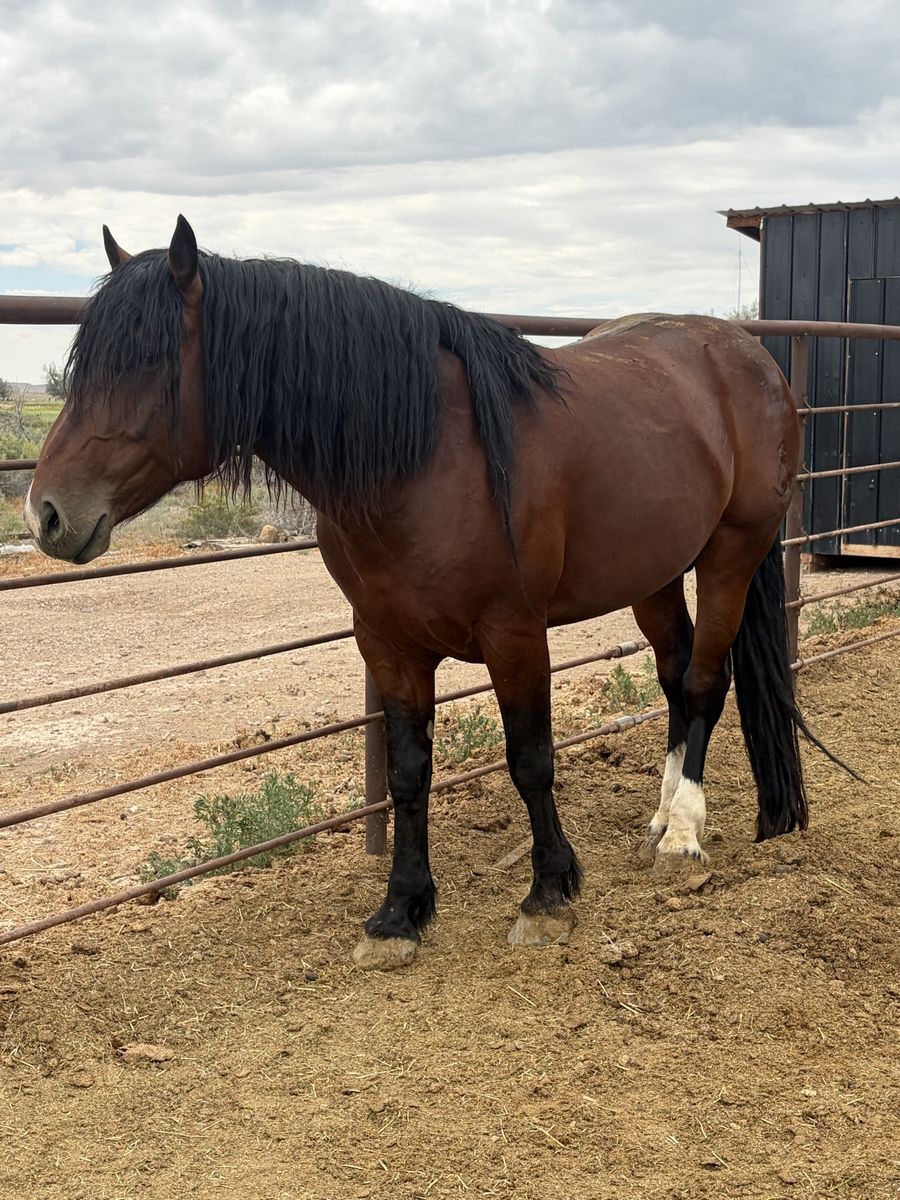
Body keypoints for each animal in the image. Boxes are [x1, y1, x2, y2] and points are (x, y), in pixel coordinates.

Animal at [26, 216, 820, 969]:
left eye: (147, 361)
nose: (47, 513)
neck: (428, 459)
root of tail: (746, 355)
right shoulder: (388, 641)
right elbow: (408, 774)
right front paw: (400, 912)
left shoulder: (515, 635)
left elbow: (530, 760)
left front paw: (548, 895)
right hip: (652, 573)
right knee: (675, 677)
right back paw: (660, 818)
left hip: (731, 554)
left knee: (706, 681)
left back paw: (683, 833)